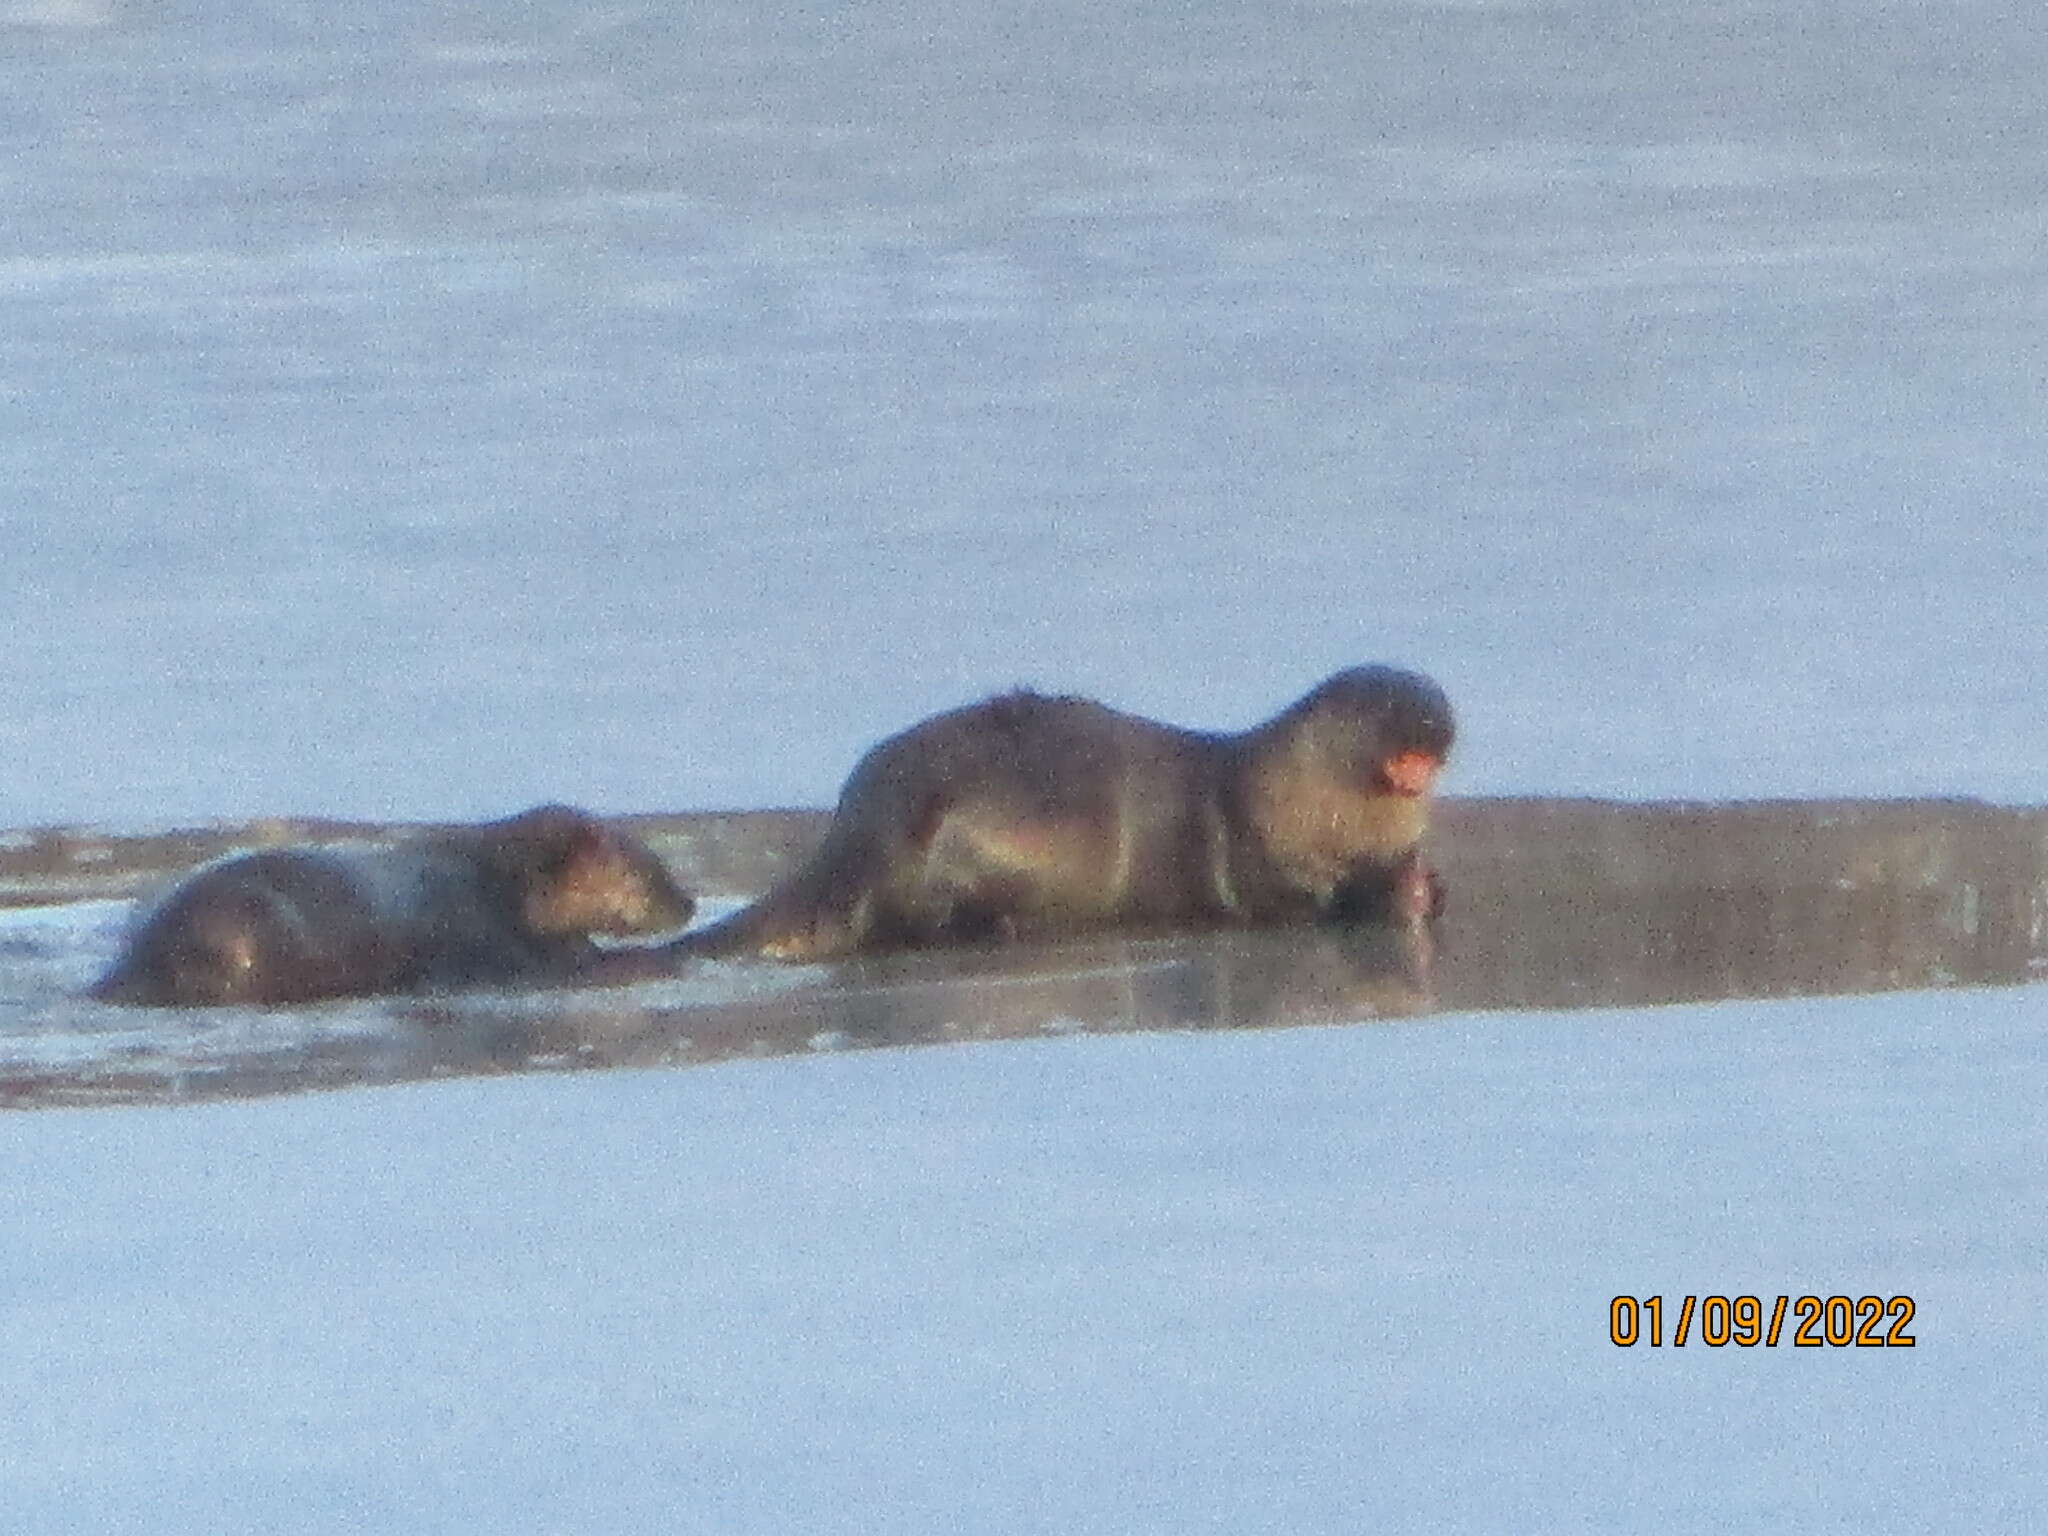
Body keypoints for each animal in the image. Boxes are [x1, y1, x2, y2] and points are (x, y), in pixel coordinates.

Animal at [679, 663, 1449, 962]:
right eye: (1385, 702)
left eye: (1437, 695)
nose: (1432, 725)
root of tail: (867, 818)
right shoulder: (1262, 846)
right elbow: (1294, 893)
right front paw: (1383, 894)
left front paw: (1424, 886)